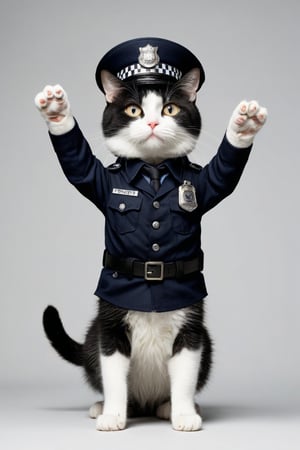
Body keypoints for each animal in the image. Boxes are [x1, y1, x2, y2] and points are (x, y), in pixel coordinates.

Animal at [35, 61, 268, 430]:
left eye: (170, 108)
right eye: (134, 110)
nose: (154, 122)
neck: (155, 168)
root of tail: (143, 402)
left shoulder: (190, 331)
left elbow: (184, 376)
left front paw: (184, 413)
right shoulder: (111, 328)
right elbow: (80, 165)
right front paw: (57, 112)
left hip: (206, 340)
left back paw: (166, 406)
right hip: (95, 332)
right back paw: (104, 406)